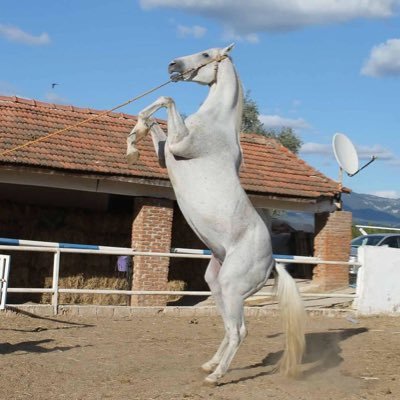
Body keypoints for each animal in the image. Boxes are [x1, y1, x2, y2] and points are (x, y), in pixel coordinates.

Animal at [126, 43, 304, 384]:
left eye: (206, 55)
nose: (172, 65)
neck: (215, 124)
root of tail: (273, 264)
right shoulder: (166, 154)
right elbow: (156, 122)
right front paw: (134, 137)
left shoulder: (179, 145)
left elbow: (167, 99)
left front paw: (135, 135)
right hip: (217, 283)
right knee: (229, 326)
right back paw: (210, 364)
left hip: (233, 288)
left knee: (240, 330)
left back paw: (216, 376)